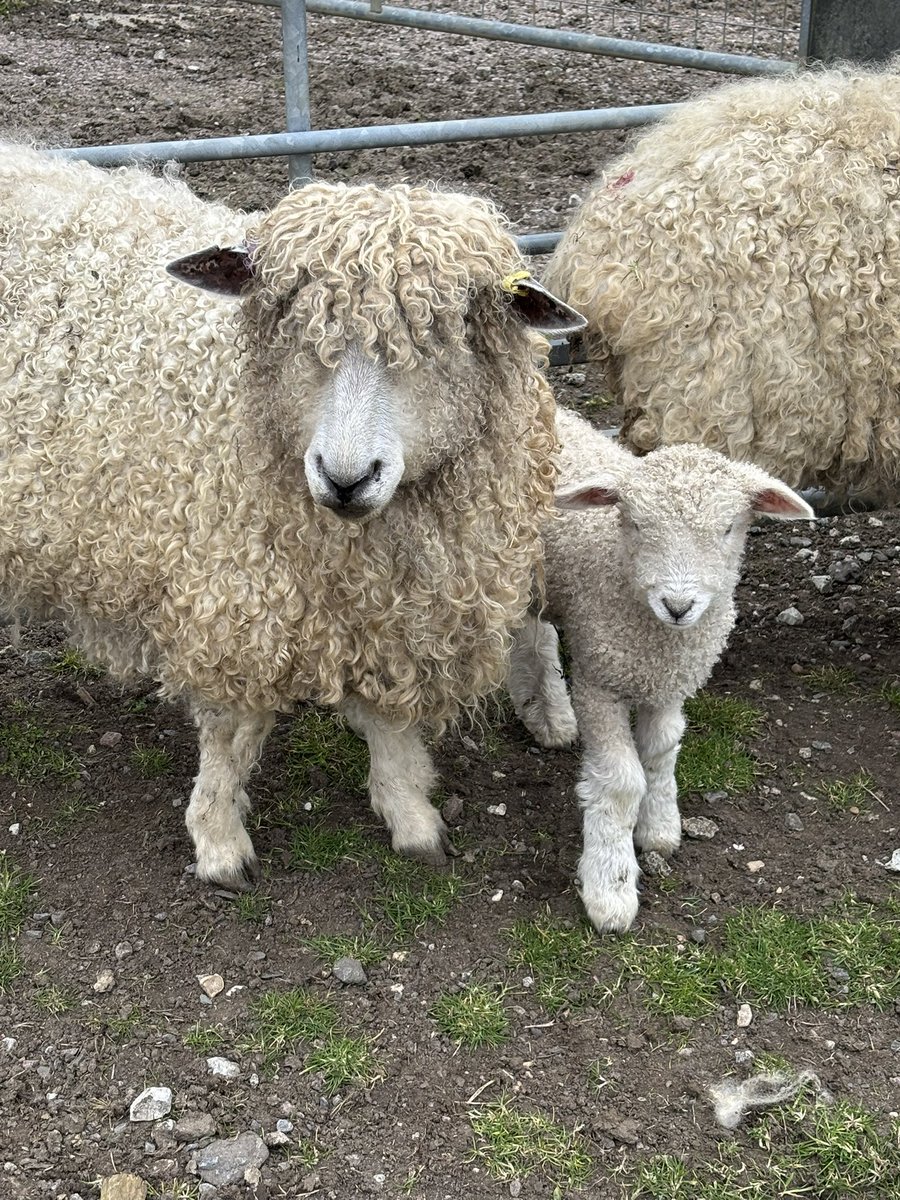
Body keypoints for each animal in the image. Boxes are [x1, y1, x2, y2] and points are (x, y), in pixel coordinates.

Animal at [0, 142, 585, 889]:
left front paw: (411, 815)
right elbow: (233, 730)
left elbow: (391, 720)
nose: (345, 477)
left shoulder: (396, 603)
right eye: (292, 323)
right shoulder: (237, 585)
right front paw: (218, 841)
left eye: (445, 334)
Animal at [508, 407, 814, 933]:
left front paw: (660, 825)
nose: (678, 605)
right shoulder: (600, 681)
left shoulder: (670, 683)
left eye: (729, 528)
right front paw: (610, 886)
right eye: (633, 523)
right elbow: (621, 781)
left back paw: (550, 714)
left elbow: (662, 751)